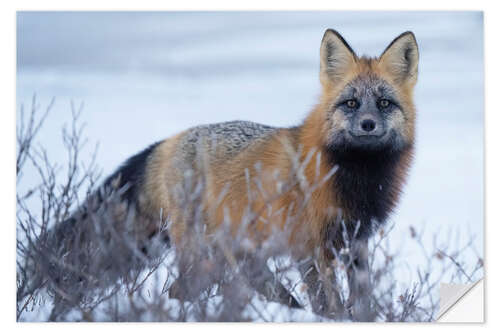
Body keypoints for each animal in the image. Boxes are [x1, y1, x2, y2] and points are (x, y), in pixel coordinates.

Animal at [47, 28, 416, 314]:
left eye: (384, 103)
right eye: (351, 103)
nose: (367, 125)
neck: (352, 179)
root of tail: (171, 140)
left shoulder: (357, 242)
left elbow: (362, 303)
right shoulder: (310, 249)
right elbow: (330, 306)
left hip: (240, 259)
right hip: (205, 258)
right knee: (179, 293)